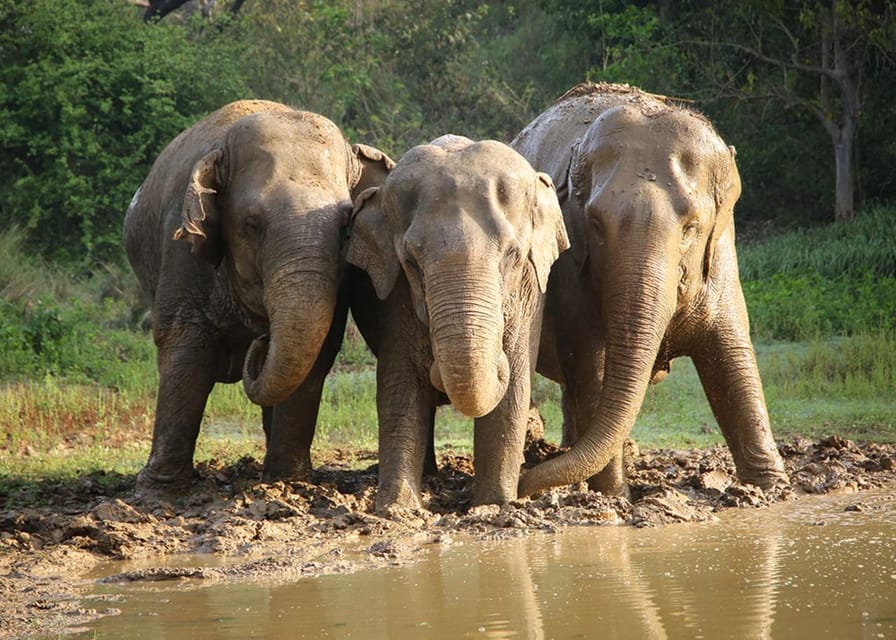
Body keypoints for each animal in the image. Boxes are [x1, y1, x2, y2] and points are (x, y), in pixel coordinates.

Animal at [124, 99, 393, 495]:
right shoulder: (182, 251)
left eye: (347, 224)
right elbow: (183, 345)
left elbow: (318, 348)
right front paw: (156, 491)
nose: (262, 340)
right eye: (252, 224)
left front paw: (287, 482)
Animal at [346, 135, 569, 511]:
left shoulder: (532, 290)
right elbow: (400, 385)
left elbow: (515, 386)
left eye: (512, 255)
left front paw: (494, 505)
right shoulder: (395, 295)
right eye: (410, 261)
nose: (435, 365)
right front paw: (397, 508)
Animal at [511, 82, 788, 498]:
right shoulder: (572, 274)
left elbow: (732, 358)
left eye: (691, 227)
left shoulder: (722, 256)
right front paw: (614, 496)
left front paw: (773, 489)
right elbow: (593, 369)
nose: (523, 485)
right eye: (595, 224)